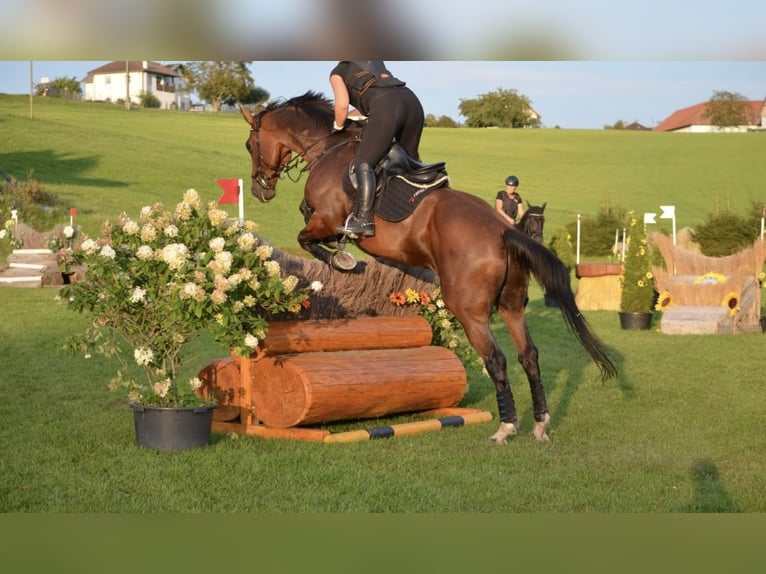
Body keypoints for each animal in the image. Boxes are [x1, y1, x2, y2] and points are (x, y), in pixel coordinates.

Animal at [240, 93, 616, 446]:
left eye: (249, 145)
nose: (259, 188)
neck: (328, 148)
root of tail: (504, 231)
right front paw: (340, 252)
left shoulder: (326, 218)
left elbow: (307, 237)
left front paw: (342, 259)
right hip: (511, 305)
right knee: (529, 355)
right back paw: (539, 424)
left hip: (468, 309)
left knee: (496, 359)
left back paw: (505, 427)